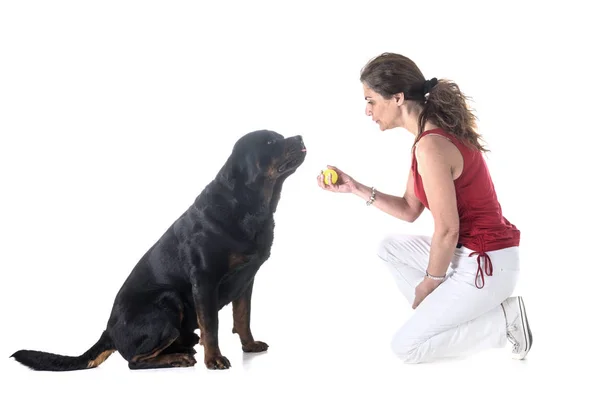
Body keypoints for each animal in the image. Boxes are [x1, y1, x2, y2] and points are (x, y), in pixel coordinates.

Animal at [11, 130, 308, 370]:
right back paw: (178, 358)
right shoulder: (204, 280)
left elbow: (243, 317)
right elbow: (212, 324)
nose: (300, 137)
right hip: (168, 299)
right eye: (270, 142)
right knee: (134, 360)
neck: (250, 205)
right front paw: (214, 359)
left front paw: (249, 345)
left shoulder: (246, 280)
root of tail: (108, 331)